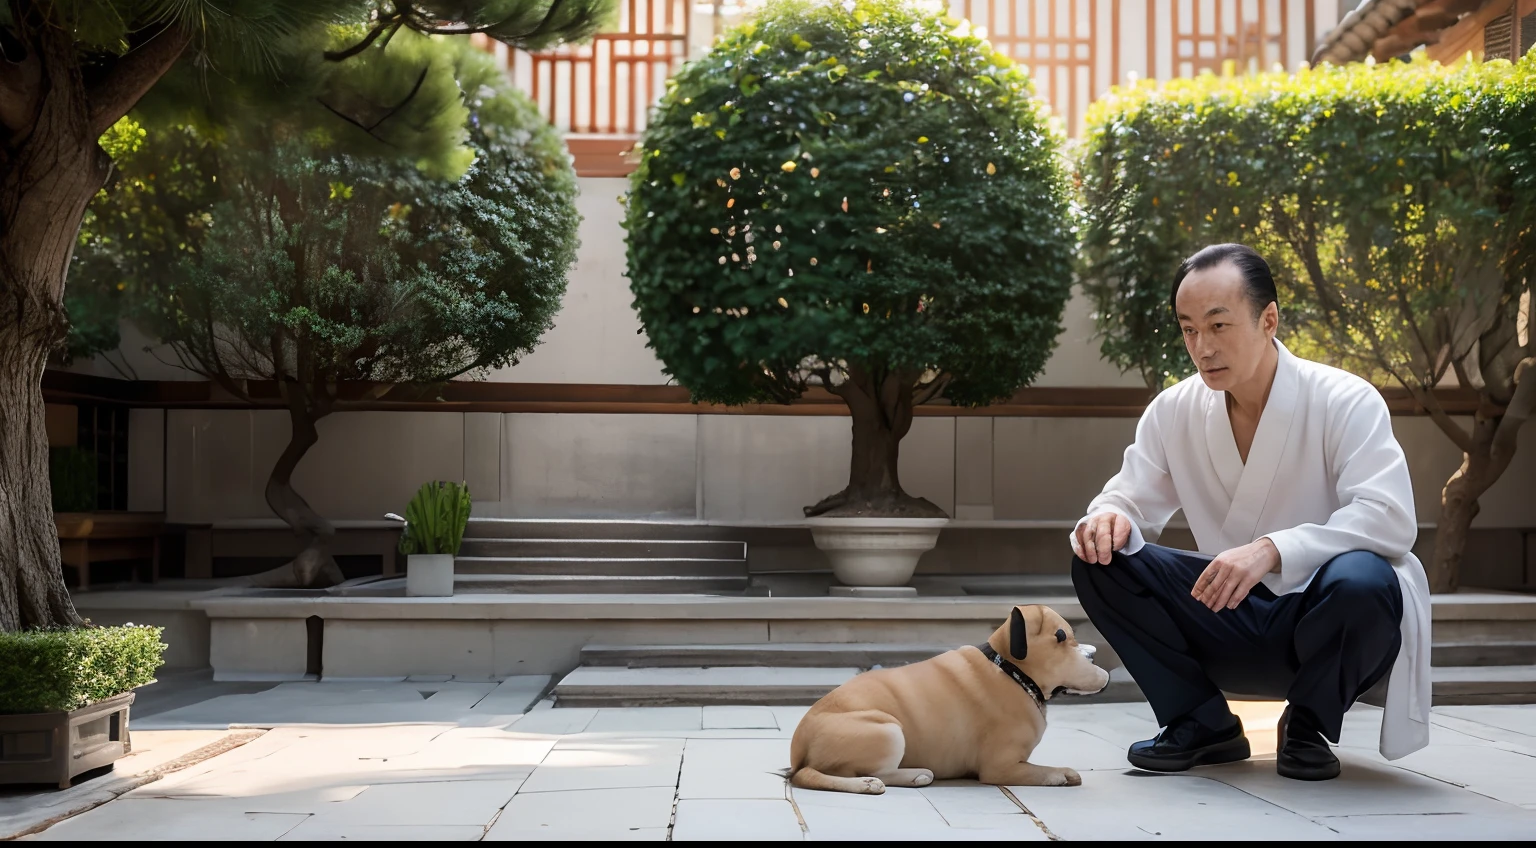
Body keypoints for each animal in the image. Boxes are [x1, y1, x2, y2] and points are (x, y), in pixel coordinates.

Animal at [792, 602, 1105, 792]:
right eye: (1061, 636)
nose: (1093, 654)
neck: (1011, 670)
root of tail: (799, 755)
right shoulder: (1001, 768)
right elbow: (1041, 771)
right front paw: (1061, 773)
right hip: (888, 730)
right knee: (854, 773)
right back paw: (884, 779)